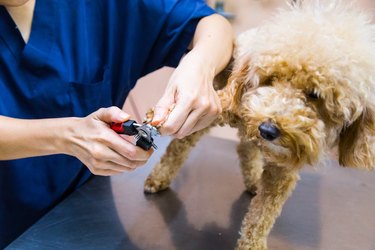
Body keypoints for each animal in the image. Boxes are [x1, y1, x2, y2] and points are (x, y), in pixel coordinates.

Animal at [143, 0, 375, 249]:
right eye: (270, 79)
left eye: (314, 94)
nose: (268, 129)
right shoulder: (226, 104)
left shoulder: (282, 172)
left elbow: (262, 216)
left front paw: (252, 244)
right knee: (184, 145)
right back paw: (159, 177)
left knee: (245, 148)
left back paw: (254, 179)